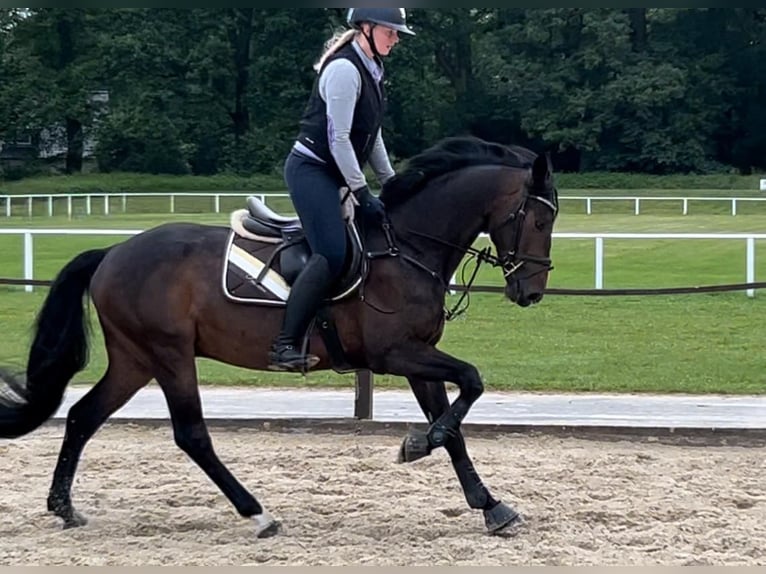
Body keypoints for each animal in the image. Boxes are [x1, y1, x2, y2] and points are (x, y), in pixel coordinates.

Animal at [0, 136, 560, 540]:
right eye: (537, 218)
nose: (531, 291)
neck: (406, 247)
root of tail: (113, 252)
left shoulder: (419, 356)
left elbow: (456, 424)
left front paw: (488, 504)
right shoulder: (396, 353)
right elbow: (472, 381)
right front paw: (419, 445)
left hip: (134, 360)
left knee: (82, 416)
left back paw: (63, 507)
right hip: (169, 354)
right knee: (191, 434)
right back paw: (257, 514)